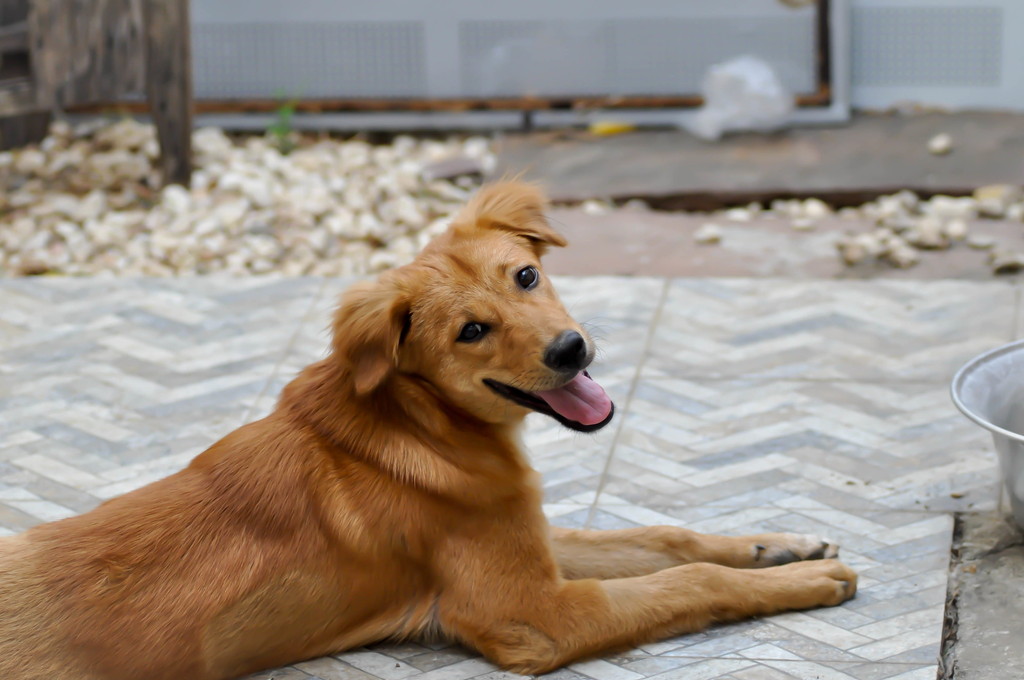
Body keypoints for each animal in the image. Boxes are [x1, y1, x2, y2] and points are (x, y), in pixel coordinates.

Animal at [0, 180, 851, 680]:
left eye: (527, 276)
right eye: (472, 330)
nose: (570, 350)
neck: (423, 424)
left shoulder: (528, 541)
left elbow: (664, 538)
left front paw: (776, 547)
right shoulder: (531, 614)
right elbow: (690, 581)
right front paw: (804, 582)